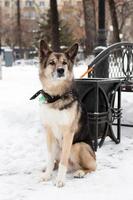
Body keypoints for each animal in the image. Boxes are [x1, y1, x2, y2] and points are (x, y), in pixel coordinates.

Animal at [38, 40, 96, 188]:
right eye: (52, 62)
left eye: (64, 63)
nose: (61, 70)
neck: (56, 97)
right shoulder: (49, 132)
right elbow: (49, 158)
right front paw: (47, 175)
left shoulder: (68, 133)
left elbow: (63, 161)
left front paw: (60, 180)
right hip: (58, 145)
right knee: (55, 161)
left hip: (78, 146)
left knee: (93, 166)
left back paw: (80, 172)